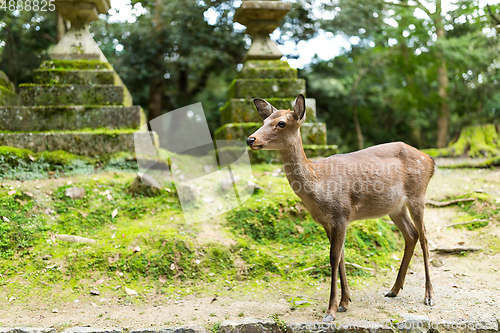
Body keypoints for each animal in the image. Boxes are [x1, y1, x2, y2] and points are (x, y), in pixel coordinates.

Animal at [246, 94, 434, 322]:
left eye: (281, 123)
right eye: (264, 121)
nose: (250, 139)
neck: (318, 184)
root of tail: (430, 160)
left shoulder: (341, 214)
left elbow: (333, 257)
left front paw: (331, 310)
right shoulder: (327, 221)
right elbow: (342, 256)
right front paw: (345, 302)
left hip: (418, 195)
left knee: (424, 237)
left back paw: (428, 296)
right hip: (394, 207)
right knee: (411, 234)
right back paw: (393, 289)